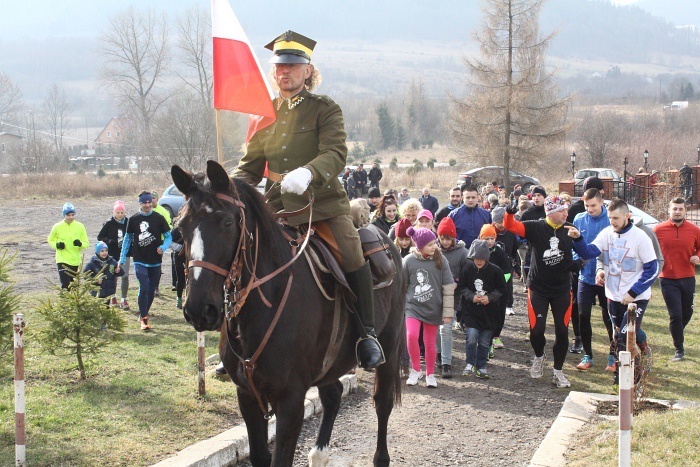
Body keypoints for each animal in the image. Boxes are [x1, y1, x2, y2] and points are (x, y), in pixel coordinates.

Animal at [172, 162, 408, 467]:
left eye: (227, 223)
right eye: (181, 227)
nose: (199, 310)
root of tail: (389, 245)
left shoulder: (290, 402)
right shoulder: (247, 397)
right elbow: (260, 456)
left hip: (389, 348)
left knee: (382, 402)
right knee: (333, 395)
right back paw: (319, 454)